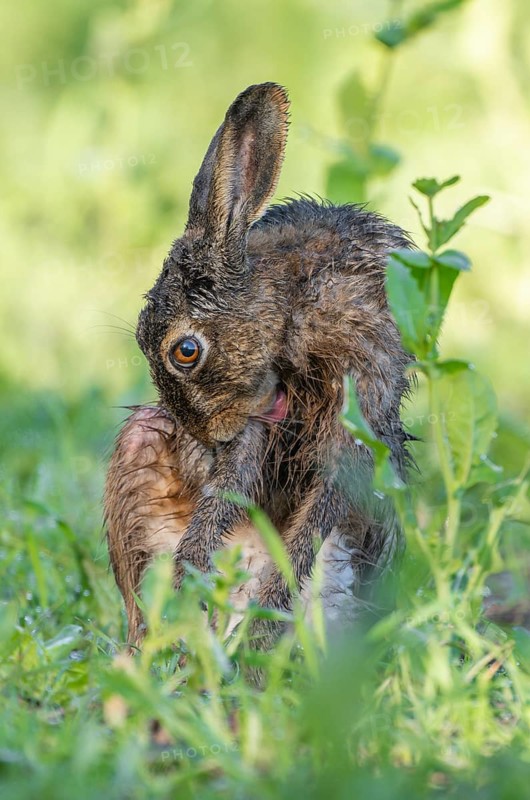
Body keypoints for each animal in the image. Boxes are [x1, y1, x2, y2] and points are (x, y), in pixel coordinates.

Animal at [104, 82, 413, 649]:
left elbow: (313, 523)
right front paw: (188, 580)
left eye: (185, 351)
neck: (287, 312)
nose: (205, 438)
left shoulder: (356, 406)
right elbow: (229, 486)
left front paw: (263, 627)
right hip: (140, 441)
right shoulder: (252, 418)